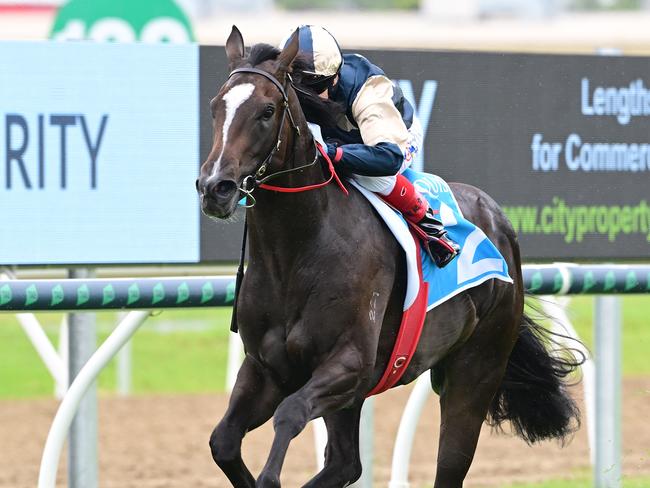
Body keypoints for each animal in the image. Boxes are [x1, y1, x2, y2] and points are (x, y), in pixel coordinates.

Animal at [195, 27, 580, 488]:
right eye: (216, 106)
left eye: (267, 110)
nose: (215, 187)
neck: (296, 254)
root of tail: (500, 222)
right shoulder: (266, 369)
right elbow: (223, 442)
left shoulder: (348, 365)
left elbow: (289, 416)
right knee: (345, 463)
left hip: (476, 369)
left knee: (448, 462)